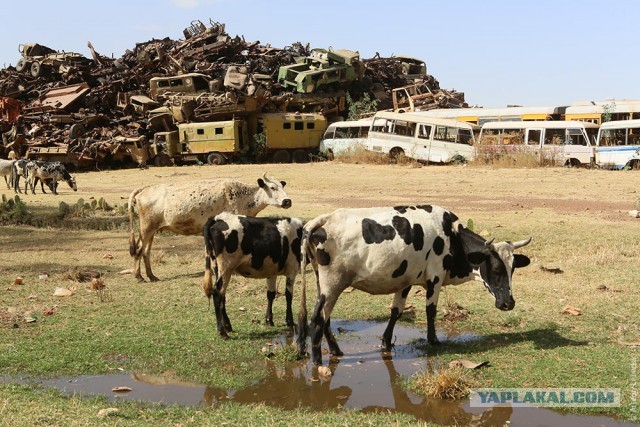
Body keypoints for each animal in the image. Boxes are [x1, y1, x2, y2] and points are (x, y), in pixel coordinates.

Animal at [128, 172, 292, 282]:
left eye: (282, 186)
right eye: (272, 187)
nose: (287, 201)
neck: (242, 197)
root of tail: (144, 189)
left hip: (152, 231)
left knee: (146, 252)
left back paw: (151, 276)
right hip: (146, 229)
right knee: (138, 250)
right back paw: (139, 276)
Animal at [205, 212, 304, 340]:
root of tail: (218, 217)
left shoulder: (272, 271)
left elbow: (271, 294)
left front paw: (269, 320)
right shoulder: (292, 269)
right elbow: (288, 295)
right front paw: (290, 321)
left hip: (217, 267)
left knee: (222, 295)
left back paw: (227, 325)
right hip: (226, 267)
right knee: (217, 294)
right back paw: (222, 332)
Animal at [298, 206, 532, 366]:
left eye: (512, 269)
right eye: (496, 269)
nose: (508, 303)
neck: (451, 235)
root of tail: (324, 220)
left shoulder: (406, 280)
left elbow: (396, 311)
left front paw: (385, 342)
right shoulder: (435, 277)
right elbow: (431, 310)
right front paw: (433, 340)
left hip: (324, 284)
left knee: (326, 318)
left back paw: (336, 350)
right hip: (333, 284)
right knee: (317, 318)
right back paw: (317, 361)